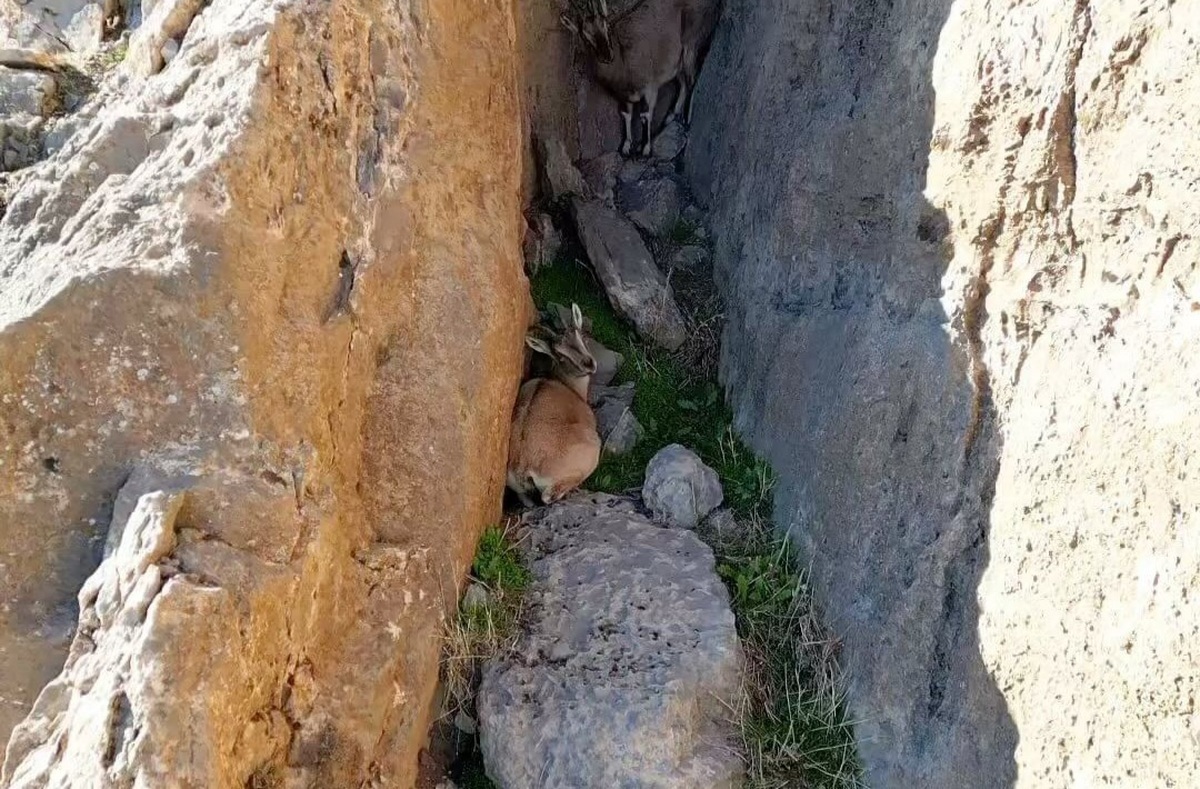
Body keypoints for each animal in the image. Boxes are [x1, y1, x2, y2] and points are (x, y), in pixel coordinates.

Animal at [506, 300, 604, 503]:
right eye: (560, 355)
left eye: (581, 336)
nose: (589, 364)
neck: (568, 386)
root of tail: (523, 468)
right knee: (548, 496)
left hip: (519, 491)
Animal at [559, 0, 715, 157]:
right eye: (585, 37)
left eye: (607, 26)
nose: (607, 56)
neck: (623, 62)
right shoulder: (623, 96)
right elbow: (626, 115)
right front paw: (626, 146)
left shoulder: (649, 88)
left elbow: (644, 115)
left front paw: (645, 148)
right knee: (683, 83)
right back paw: (670, 117)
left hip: (691, 45)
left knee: (691, 80)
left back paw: (686, 119)